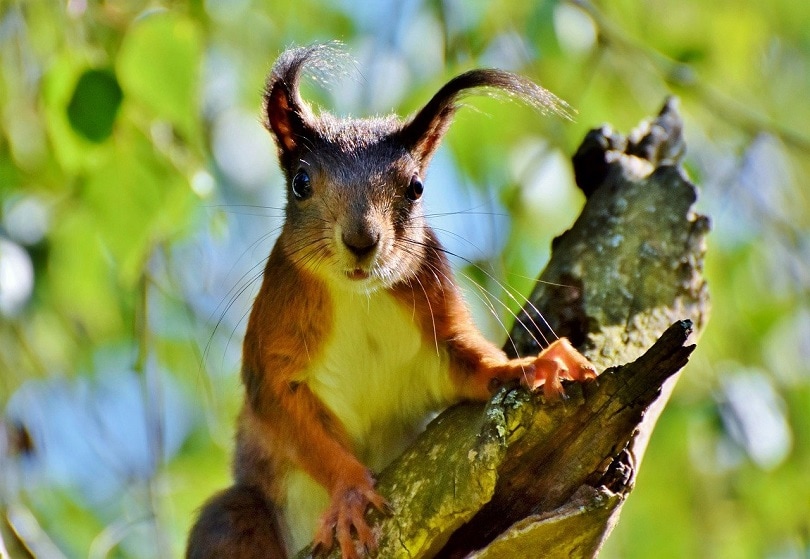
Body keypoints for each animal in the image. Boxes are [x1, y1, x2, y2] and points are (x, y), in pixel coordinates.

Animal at [186, 44, 597, 559]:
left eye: (416, 187)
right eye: (300, 182)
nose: (362, 241)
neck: (359, 297)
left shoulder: (438, 326)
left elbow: (474, 365)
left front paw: (533, 364)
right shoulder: (274, 351)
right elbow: (291, 417)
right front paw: (348, 492)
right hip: (236, 518)